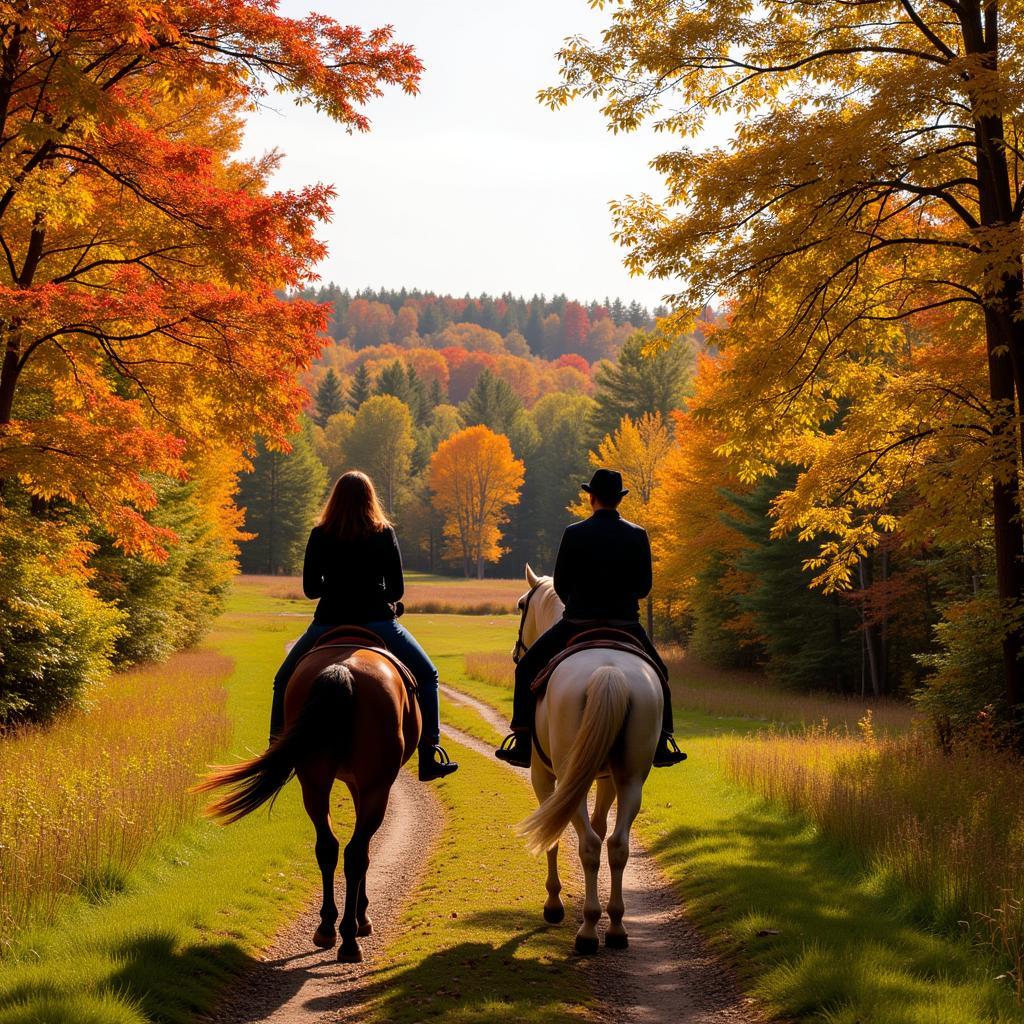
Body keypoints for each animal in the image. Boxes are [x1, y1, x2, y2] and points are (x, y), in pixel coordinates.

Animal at [193, 626, 417, 962]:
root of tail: (342, 669)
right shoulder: (367, 785)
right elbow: (363, 849)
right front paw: (363, 917)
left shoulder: (353, 783)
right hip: (373, 784)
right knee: (355, 853)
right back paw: (349, 939)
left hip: (314, 780)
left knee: (328, 847)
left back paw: (326, 929)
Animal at [516, 565, 659, 946]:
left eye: (521, 605)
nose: (517, 654)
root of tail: (608, 670)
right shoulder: (607, 779)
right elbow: (600, 826)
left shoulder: (542, 776)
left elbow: (552, 834)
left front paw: (553, 904)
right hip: (630, 780)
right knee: (616, 844)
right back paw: (616, 925)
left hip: (570, 777)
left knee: (591, 845)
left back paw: (588, 930)